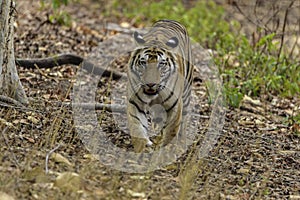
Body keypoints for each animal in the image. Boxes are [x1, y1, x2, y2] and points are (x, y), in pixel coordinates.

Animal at [126, 19, 192, 152]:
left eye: (161, 64)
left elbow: (171, 132)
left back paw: (182, 142)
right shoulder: (135, 102)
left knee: (184, 122)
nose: (150, 84)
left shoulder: (174, 105)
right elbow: (137, 127)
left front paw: (165, 153)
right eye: (143, 62)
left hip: (186, 94)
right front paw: (141, 151)